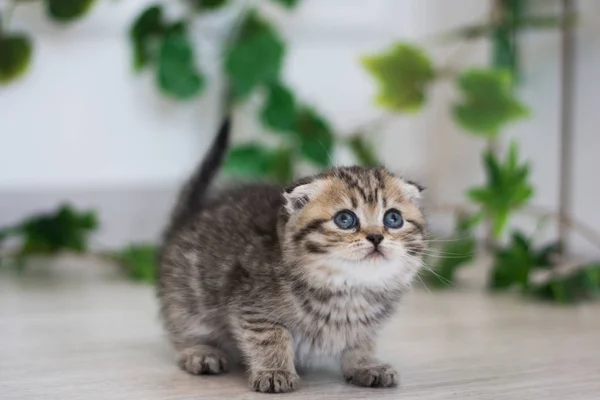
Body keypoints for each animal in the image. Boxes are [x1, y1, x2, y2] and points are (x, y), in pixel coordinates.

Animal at [156, 119, 426, 394]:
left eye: (393, 218)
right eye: (345, 219)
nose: (376, 237)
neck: (348, 289)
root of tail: (188, 218)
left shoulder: (364, 326)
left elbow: (361, 341)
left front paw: (366, 364)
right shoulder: (252, 305)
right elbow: (270, 337)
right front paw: (275, 371)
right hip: (187, 299)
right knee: (184, 327)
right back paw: (200, 352)